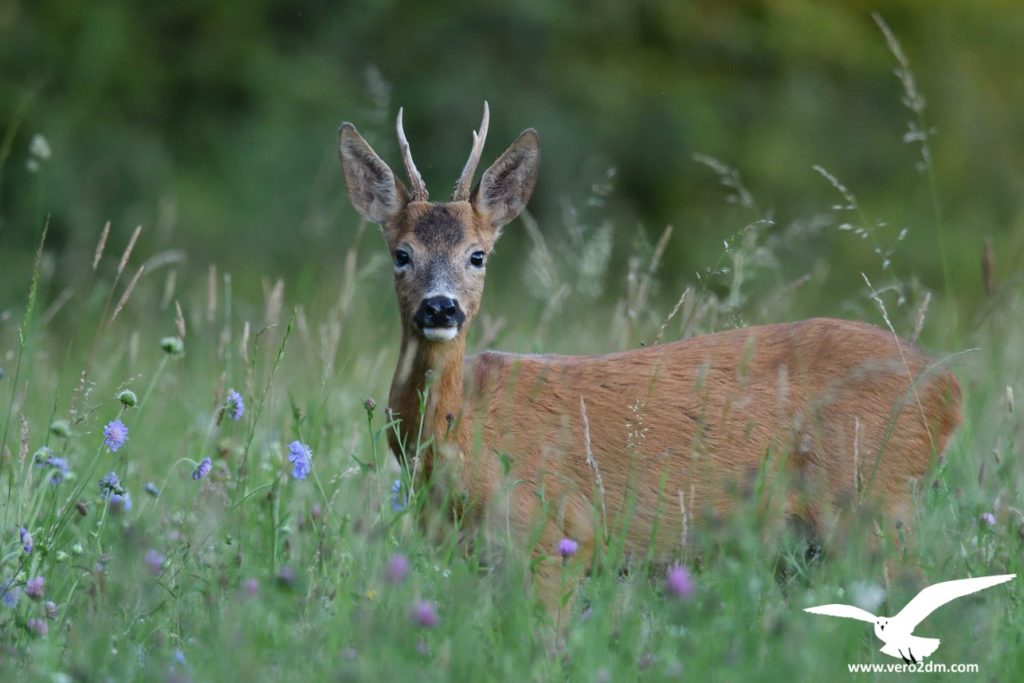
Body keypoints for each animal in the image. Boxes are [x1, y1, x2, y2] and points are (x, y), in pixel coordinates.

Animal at [335, 102, 958, 618]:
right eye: (401, 254)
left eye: (478, 255)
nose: (441, 307)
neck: (461, 432)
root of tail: (949, 387)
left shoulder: (556, 532)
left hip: (876, 501)